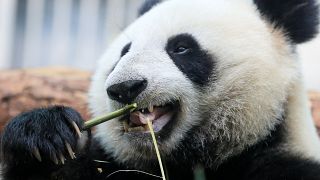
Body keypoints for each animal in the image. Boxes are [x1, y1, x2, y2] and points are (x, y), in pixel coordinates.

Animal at [0, 0, 320, 179]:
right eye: (124, 51)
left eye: (181, 48)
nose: (124, 88)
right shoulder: (114, 164)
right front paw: (47, 135)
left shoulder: (281, 162)